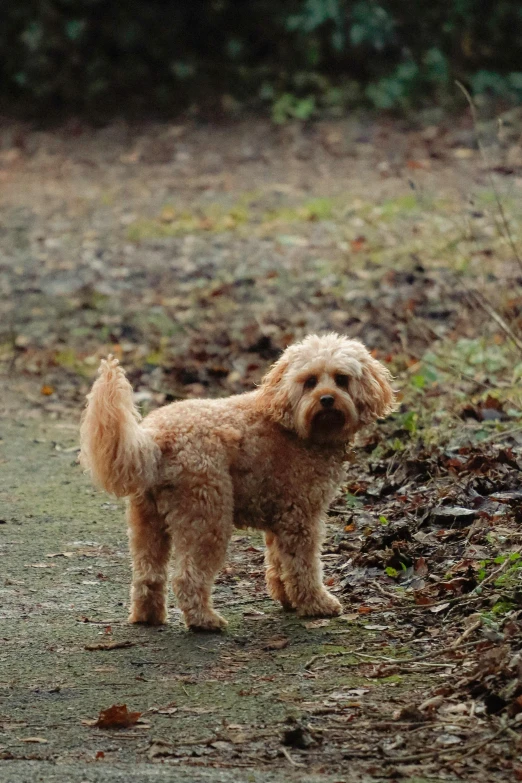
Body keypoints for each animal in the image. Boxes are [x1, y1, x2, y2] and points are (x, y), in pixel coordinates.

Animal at [79, 334, 392, 632]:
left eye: (342, 379)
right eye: (310, 381)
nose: (327, 399)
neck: (294, 423)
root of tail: (156, 437)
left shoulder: (279, 520)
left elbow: (278, 562)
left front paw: (287, 598)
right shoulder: (301, 517)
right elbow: (303, 566)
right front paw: (316, 603)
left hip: (147, 521)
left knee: (147, 574)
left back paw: (148, 616)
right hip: (207, 516)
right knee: (187, 577)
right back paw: (204, 621)